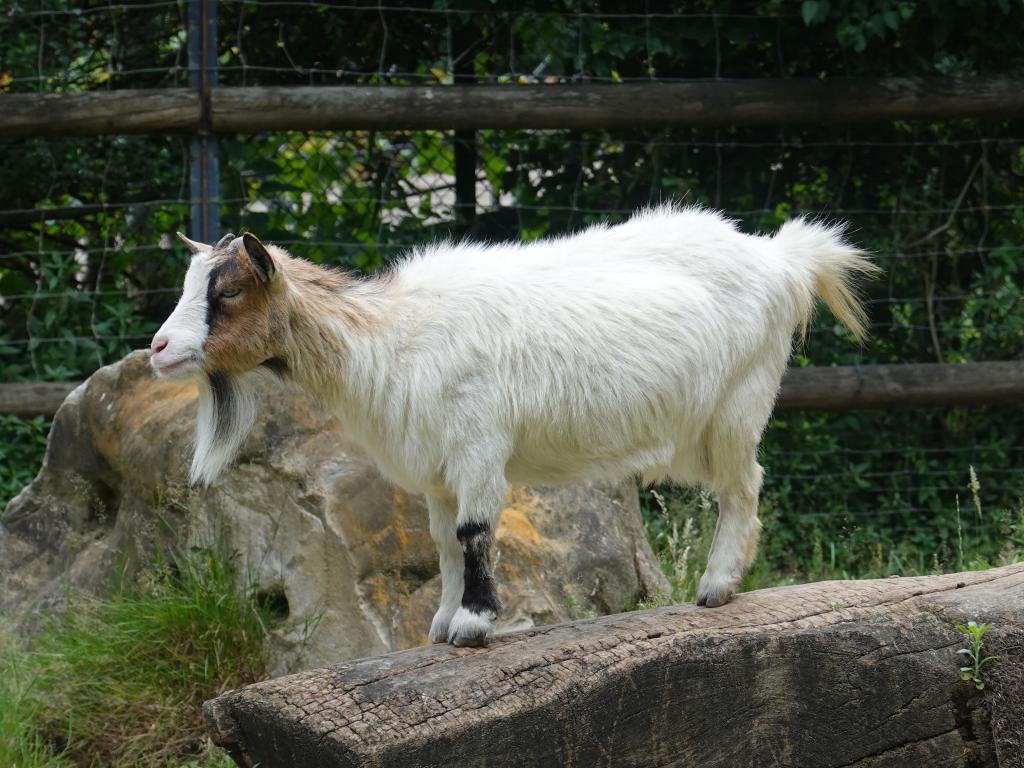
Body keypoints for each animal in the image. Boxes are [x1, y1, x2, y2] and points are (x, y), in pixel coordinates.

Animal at [148, 205, 876, 651]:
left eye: (229, 292)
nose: (158, 348)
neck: (387, 339)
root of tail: (783, 257)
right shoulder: (436, 470)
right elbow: (443, 543)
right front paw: (442, 623)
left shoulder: (477, 444)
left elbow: (475, 533)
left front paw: (473, 625)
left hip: (736, 404)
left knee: (743, 486)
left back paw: (718, 585)